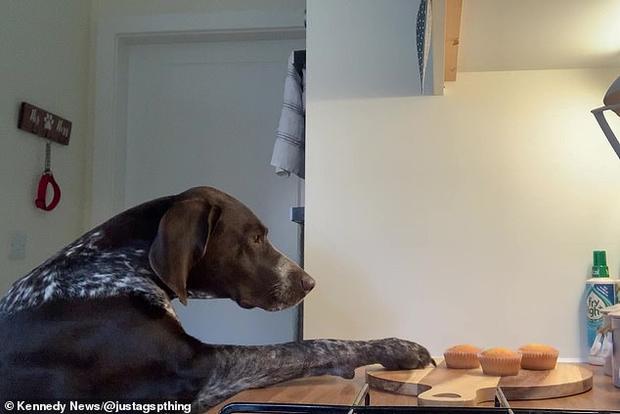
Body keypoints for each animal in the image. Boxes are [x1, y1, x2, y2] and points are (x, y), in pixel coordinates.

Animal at [0, 186, 432, 411]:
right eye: (255, 238)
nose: (309, 282)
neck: (115, 266)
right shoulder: (201, 370)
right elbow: (308, 346)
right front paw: (395, 347)